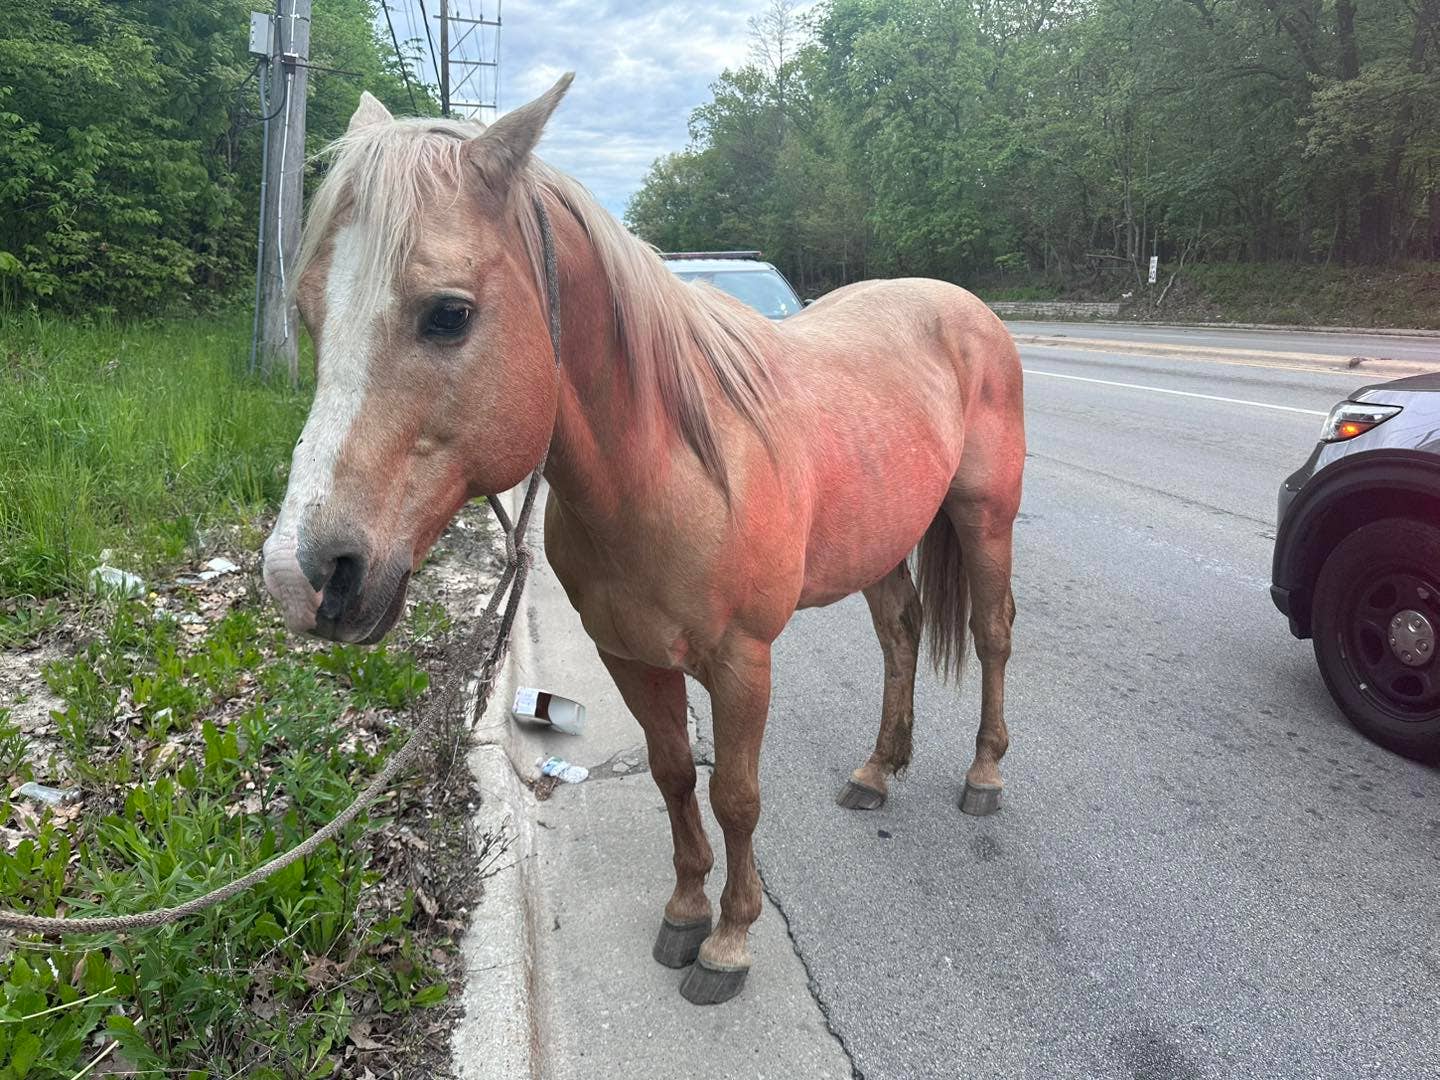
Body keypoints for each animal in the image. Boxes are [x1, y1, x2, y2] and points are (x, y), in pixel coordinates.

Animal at [261, 75, 1025, 1006]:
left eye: (447, 315)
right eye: (308, 312)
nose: (303, 577)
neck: (672, 470)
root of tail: (964, 306)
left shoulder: (742, 663)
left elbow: (736, 796)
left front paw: (730, 940)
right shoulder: (631, 657)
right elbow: (672, 776)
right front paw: (687, 912)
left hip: (986, 519)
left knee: (991, 635)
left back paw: (984, 775)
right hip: (882, 541)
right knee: (902, 635)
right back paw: (877, 772)